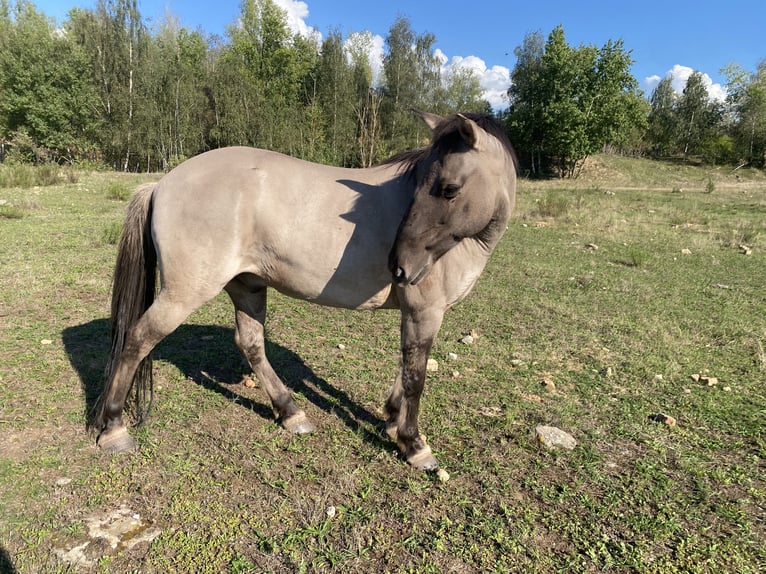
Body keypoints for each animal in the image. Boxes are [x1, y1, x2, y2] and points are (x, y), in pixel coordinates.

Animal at [94, 111, 517, 470]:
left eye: (447, 188)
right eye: (428, 187)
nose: (400, 266)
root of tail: (162, 184)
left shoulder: (419, 314)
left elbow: (407, 365)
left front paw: (392, 419)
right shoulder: (424, 310)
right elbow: (416, 375)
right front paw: (414, 444)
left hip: (247, 285)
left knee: (250, 343)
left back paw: (290, 412)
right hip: (183, 294)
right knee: (138, 338)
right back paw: (114, 428)